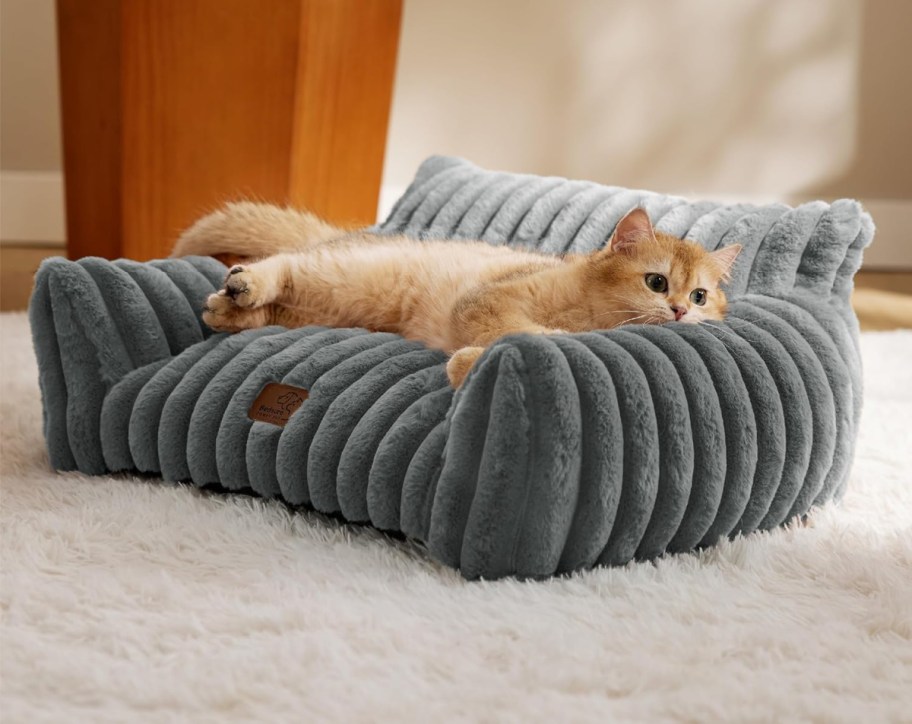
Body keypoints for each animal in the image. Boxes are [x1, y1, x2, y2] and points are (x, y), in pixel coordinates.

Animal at [171, 201, 740, 388]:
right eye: (657, 282)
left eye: (700, 297)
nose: (678, 311)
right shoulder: (490, 301)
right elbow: (511, 331)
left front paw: (467, 365)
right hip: (343, 274)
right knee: (286, 265)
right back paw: (244, 283)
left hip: (336, 306)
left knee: (276, 306)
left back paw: (230, 310)